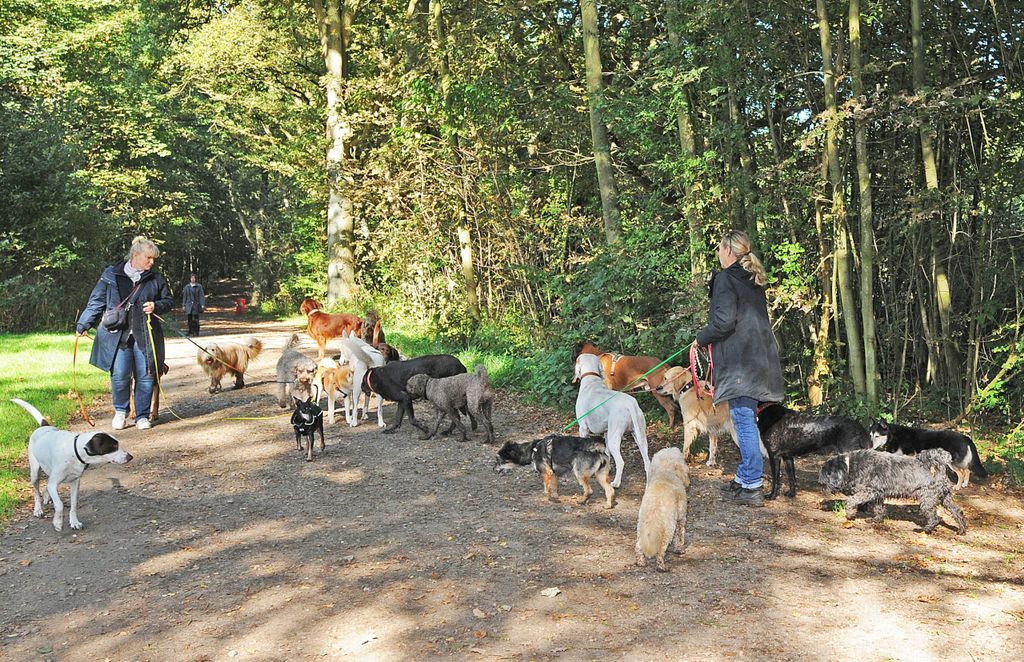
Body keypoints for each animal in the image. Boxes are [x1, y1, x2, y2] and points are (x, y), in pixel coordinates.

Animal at [11, 399, 134, 532]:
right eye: (114, 447)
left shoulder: (75, 482)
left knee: (47, 484)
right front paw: (58, 522)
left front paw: (74, 522)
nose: (130, 457)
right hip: (34, 472)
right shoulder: (54, 483)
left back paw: (46, 497)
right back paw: (38, 509)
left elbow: (74, 504)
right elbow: (59, 504)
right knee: (36, 491)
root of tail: (43, 427)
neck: (74, 451)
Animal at [815, 448, 966, 536]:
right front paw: (876, 520)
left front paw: (850, 514)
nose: (819, 484)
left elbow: (851, 501)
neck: (849, 466)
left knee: (935, 518)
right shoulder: (877, 495)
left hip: (927, 501)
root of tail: (940, 470)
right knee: (958, 512)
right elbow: (879, 509)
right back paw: (961, 530)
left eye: (825, 475)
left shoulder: (868, 491)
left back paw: (925, 530)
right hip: (946, 500)